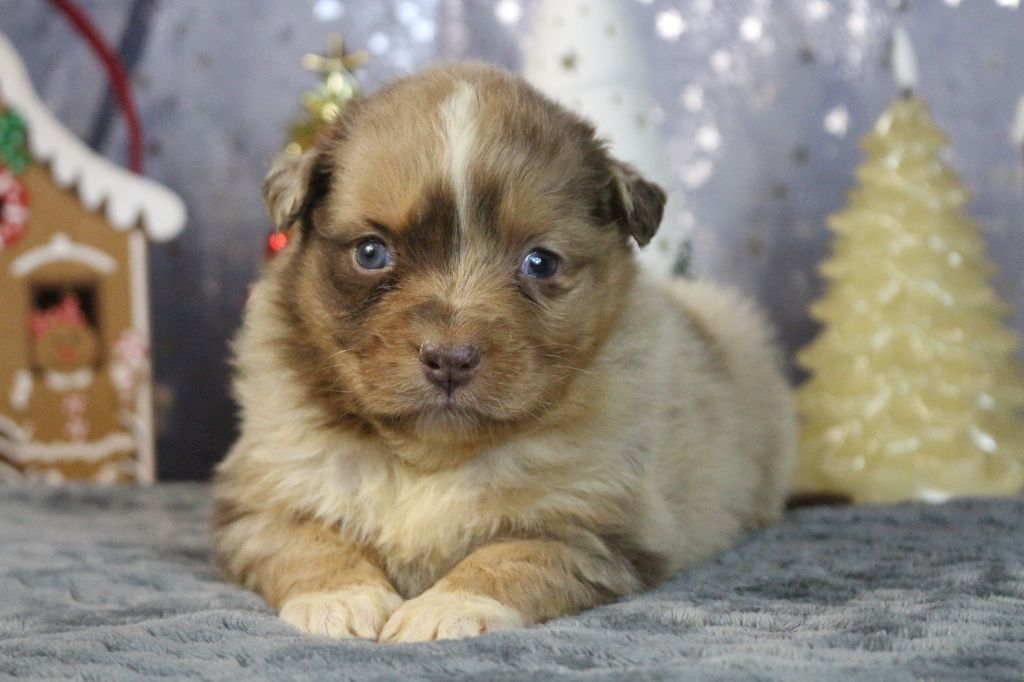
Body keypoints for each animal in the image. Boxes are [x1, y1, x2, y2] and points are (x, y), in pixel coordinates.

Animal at [211, 61, 794, 638]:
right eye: (371, 252)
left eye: (540, 262)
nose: (450, 360)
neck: (429, 457)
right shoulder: (263, 501)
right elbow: (309, 543)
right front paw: (342, 599)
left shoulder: (586, 525)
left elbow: (508, 557)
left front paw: (447, 610)